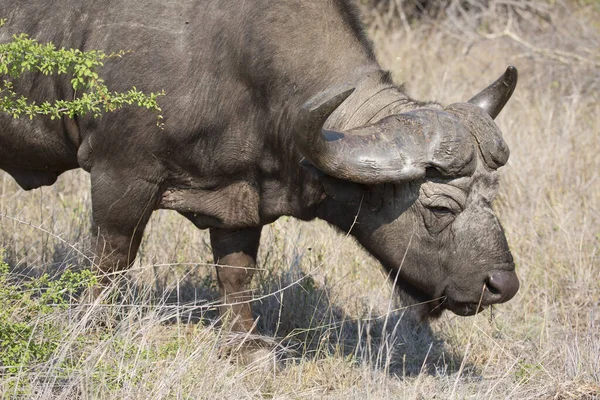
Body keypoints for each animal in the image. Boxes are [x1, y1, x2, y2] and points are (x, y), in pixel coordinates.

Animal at [0, 0, 516, 332]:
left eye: (493, 195)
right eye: (440, 209)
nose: (502, 285)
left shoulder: (239, 195)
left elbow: (236, 272)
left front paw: (245, 345)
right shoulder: (120, 175)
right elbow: (111, 262)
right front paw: (94, 327)